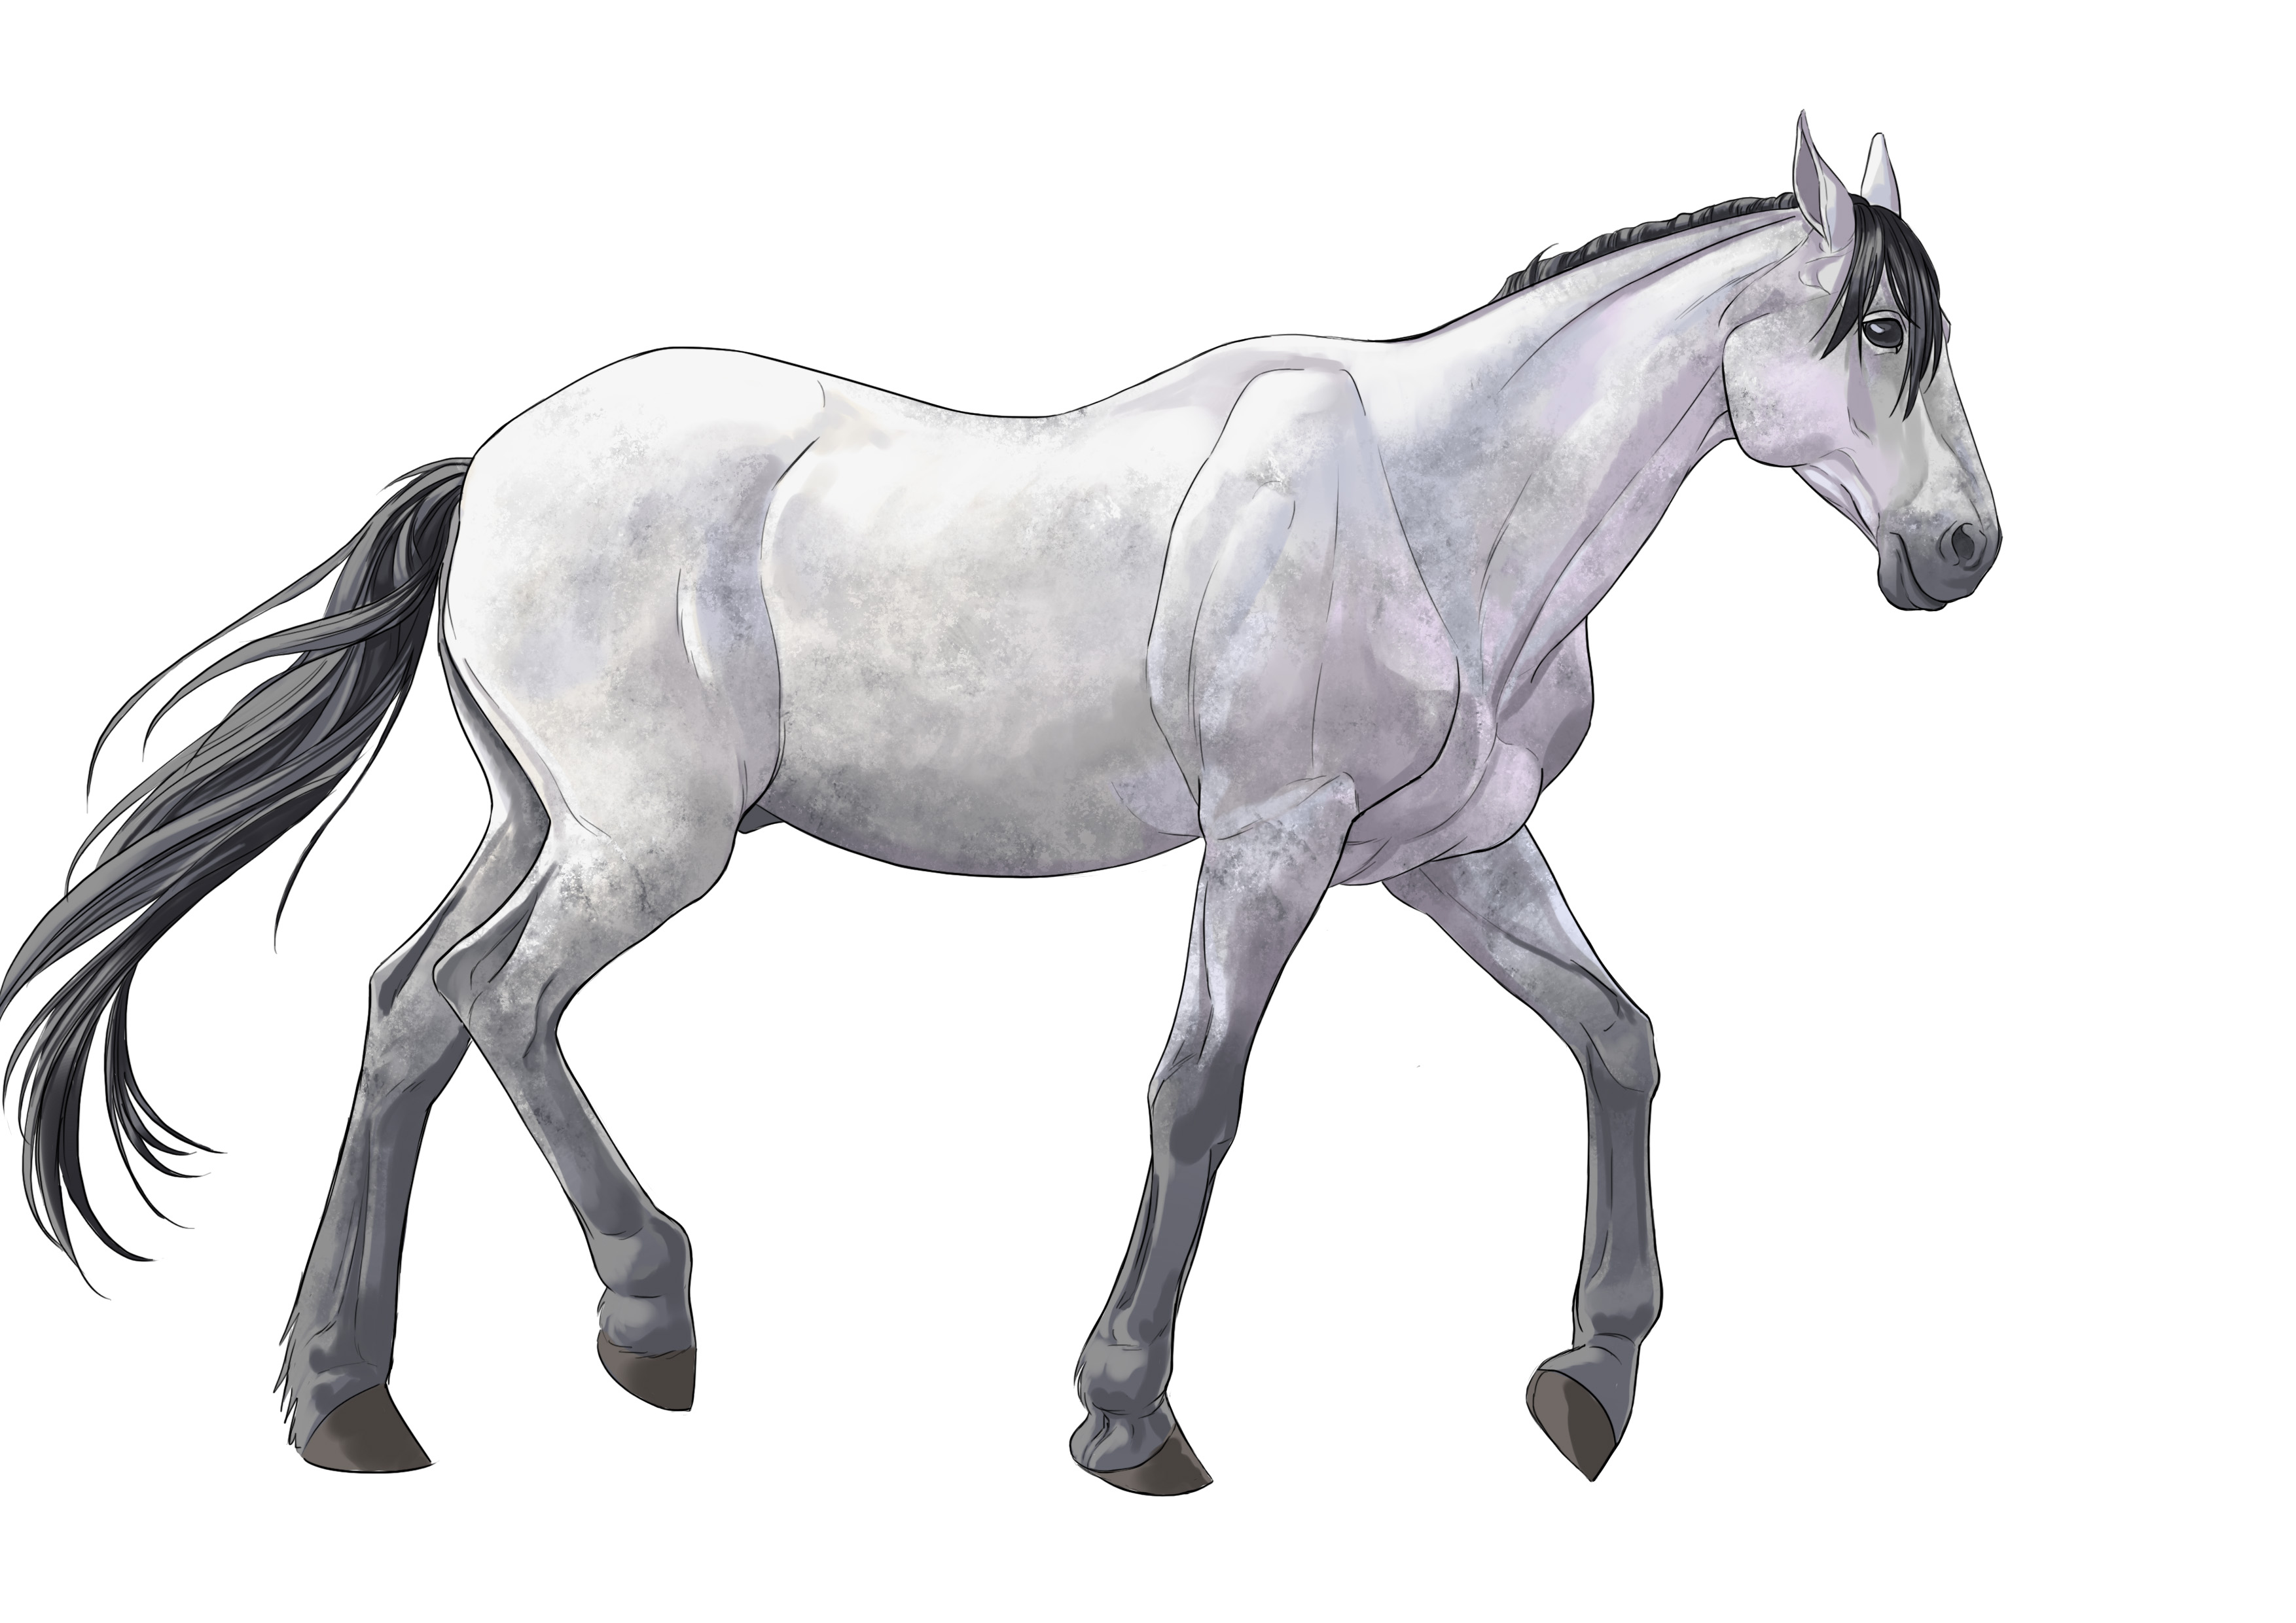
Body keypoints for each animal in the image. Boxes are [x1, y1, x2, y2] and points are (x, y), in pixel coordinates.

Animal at [0, 115, 1997, 1489]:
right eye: (1875, 326)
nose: (1961, 553)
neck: (1434, 498)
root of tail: (488, 467)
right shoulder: (1269, 846)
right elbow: (1197, 1098)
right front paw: (1129, 1417)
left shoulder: (1450, 856)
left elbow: (1620, 1038)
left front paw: (1595, 1377)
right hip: (646, 846)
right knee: (494, 1001)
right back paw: (644, 1313)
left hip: (538, 824)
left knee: (408, 1008)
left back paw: (342, 1392)